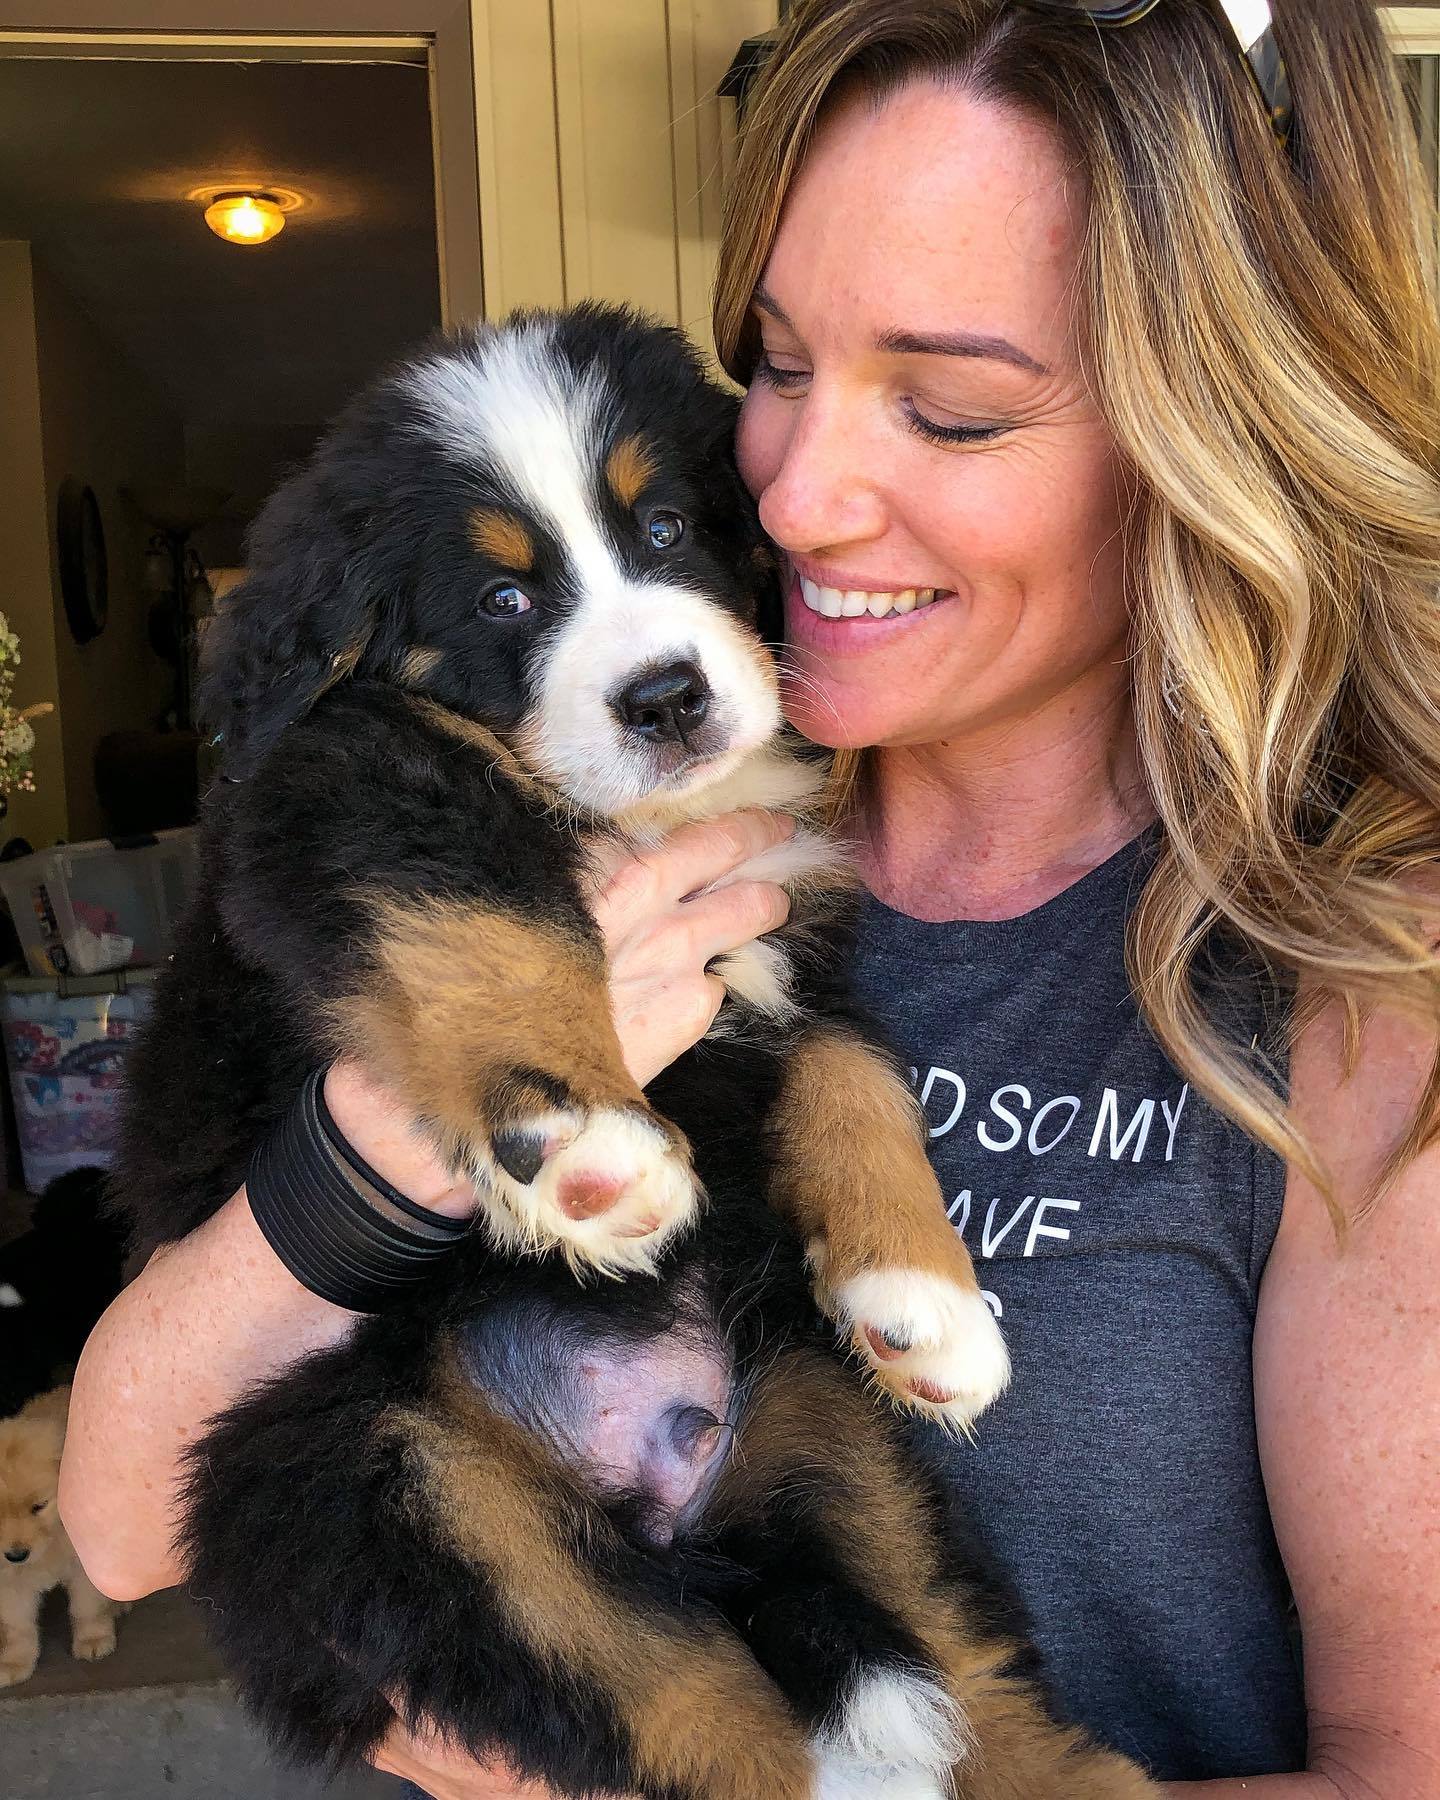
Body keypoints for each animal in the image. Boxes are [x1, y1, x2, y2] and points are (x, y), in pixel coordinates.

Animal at [0, 1389, 119, 1684]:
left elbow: (87, 1607)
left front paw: (93, 1638)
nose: (17, 1555)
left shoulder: (83, 1566)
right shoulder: (9, 1580)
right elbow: (17, 1626)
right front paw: (15, 1662)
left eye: (38, 1506)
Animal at [109, 309, 1159, 1800]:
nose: (666, 696)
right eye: (502, 602)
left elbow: (854, 1073)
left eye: (666, 525)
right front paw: (585, 1143)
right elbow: (491, 916)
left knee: (946, 1640)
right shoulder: (344, 793)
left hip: (818, 1418)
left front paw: (922, 1289)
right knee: (677, 1698)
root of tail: (656, 1498)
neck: (657, 821)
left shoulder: (793, 920)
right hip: (398, 1487)